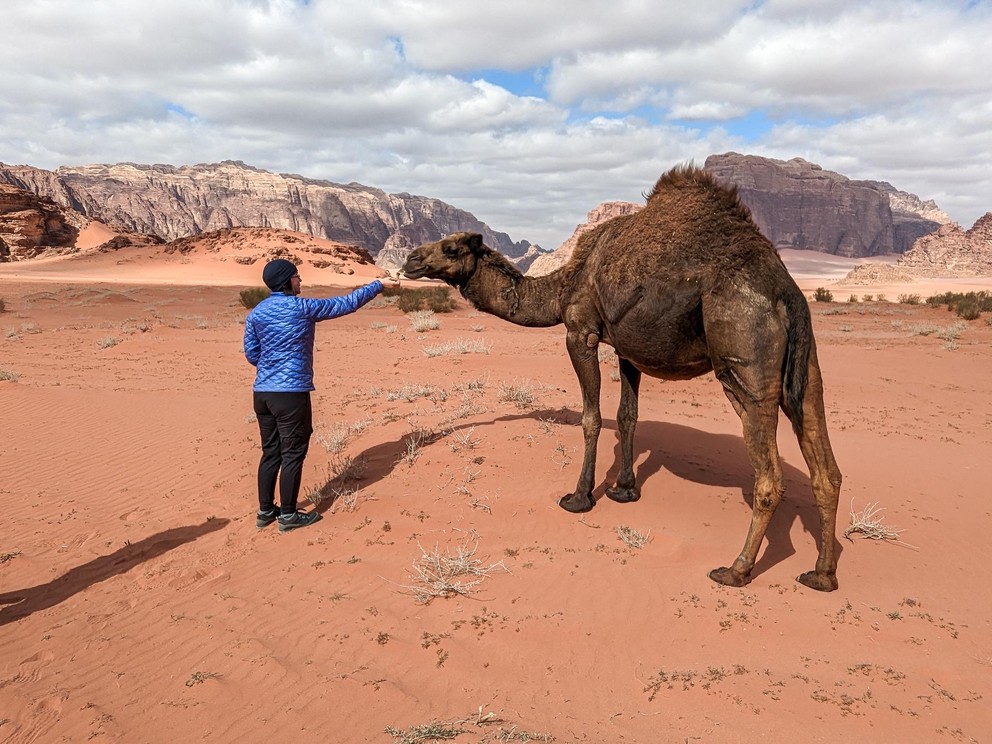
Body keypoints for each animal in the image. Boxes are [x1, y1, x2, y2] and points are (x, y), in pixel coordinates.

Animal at [401, 164, 843, 591]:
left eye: (451, 248)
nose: (410, 259)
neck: (565, 283)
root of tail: (787, 291)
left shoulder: (580, 331)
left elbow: (592, 418)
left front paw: (580, 496)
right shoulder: (627, 349)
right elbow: (628, 416)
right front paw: (624, 490)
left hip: (745, 363)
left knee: (768, 477)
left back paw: (736, 570)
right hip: (807, 373)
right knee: (827, 470)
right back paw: (821, 574)